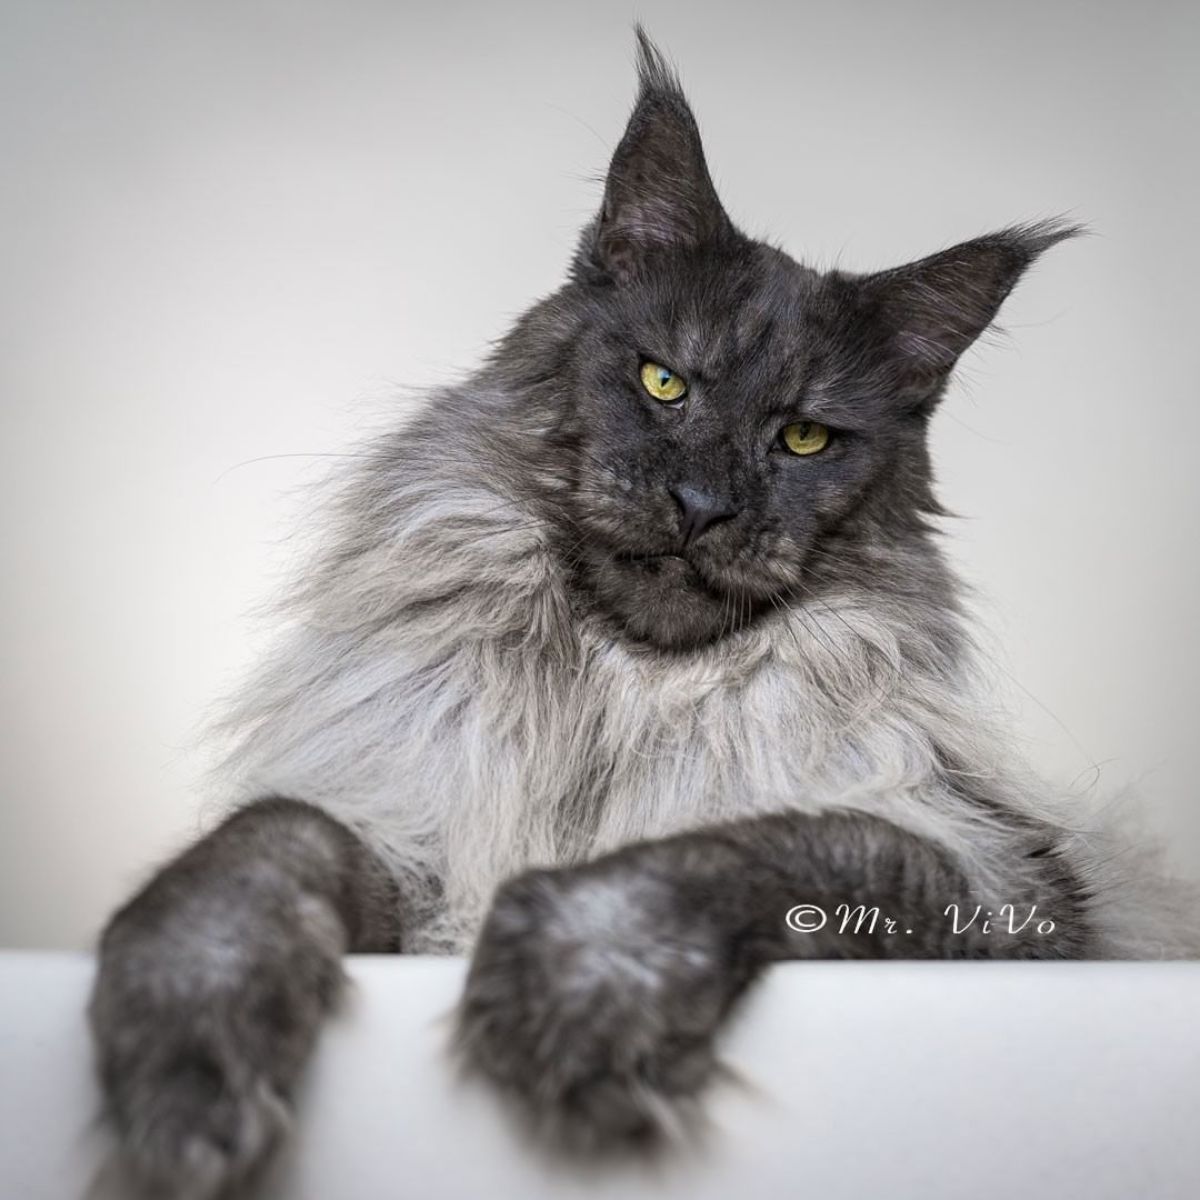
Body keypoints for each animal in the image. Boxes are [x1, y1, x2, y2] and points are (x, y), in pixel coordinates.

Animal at [88, 25, 1195, 1200]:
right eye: (665, 383)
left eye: (804, 439)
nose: (702, 505)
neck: (610, 700)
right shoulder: (407, 843)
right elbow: (259, 849)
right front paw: (182, 1072)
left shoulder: (1007, 884)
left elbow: (755, 846)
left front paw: (580, 985)